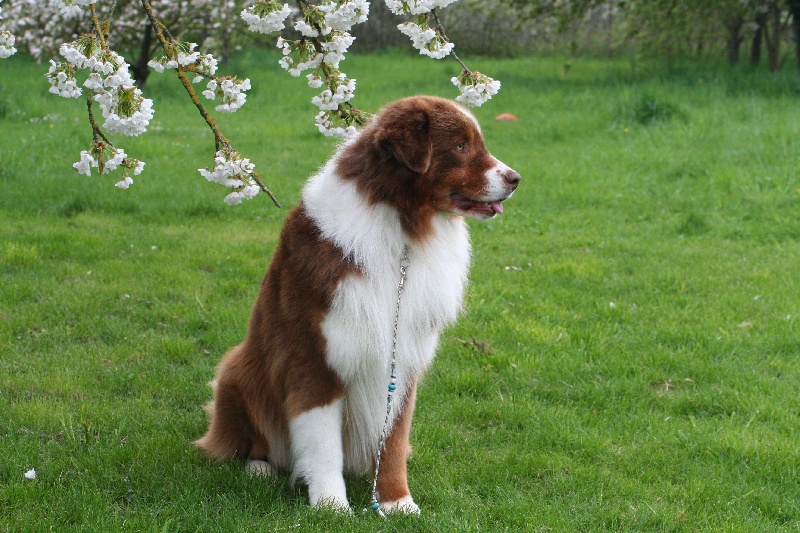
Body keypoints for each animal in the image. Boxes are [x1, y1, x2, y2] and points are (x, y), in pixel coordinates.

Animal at [196, 95, 520, 514]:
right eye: (461, 146)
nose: (515, 178)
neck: (402, 232)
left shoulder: (402, 364)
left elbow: (394, 440)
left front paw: (398, 501)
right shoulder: (315, 359)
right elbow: (322, 443)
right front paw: (331, 506)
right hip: (236, 369)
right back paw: (259, 467)